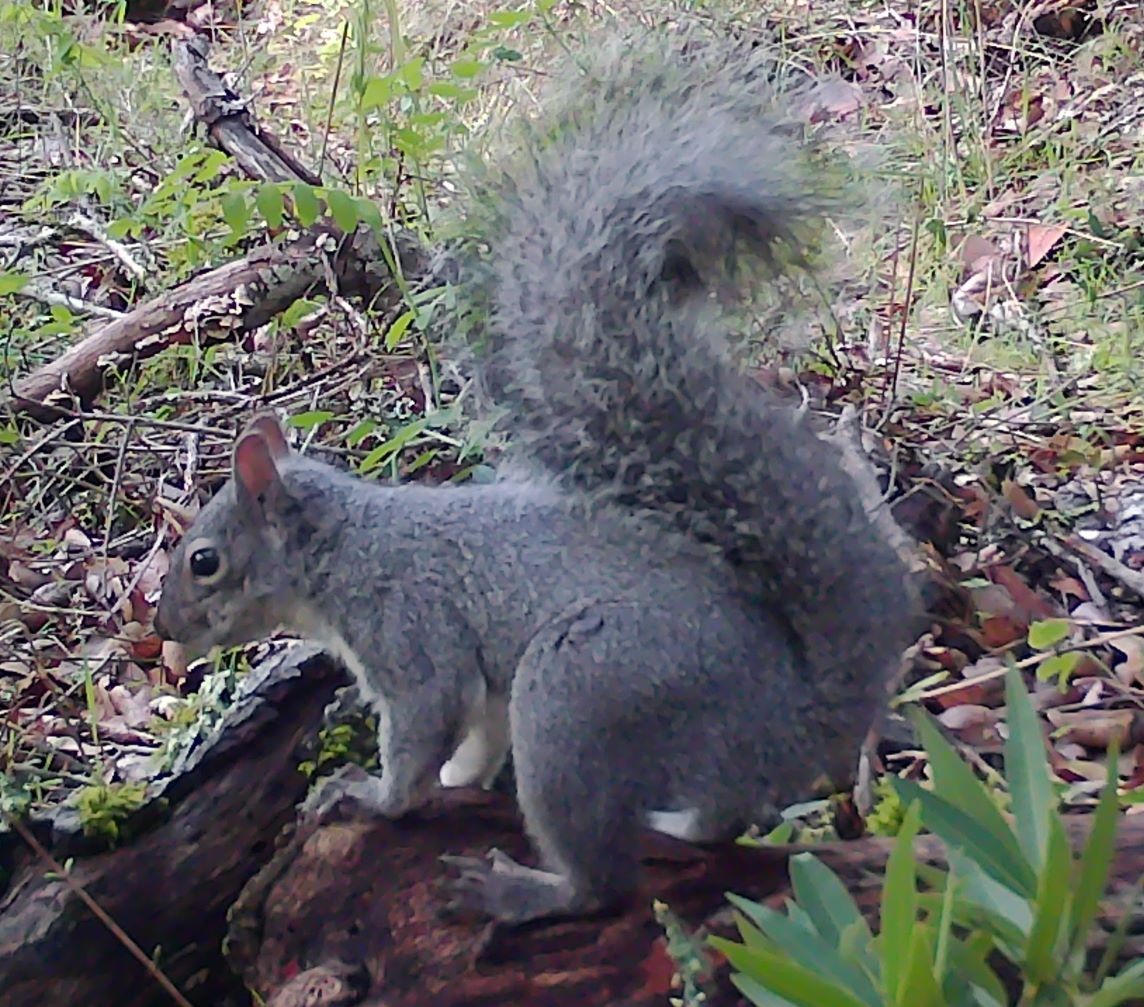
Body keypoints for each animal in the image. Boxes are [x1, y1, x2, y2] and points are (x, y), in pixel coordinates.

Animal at [153, 37, 918, 926]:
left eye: (204, 560)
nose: (164, 627)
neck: (346, 543)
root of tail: (798, 716)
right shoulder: (480, 691)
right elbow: (474, 742)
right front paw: (456, 784)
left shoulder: (411, 631)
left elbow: (421, 729)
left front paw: (375, 797)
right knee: (721, 822)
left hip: (577, 696)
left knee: (607, 884)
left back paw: (522, 891)